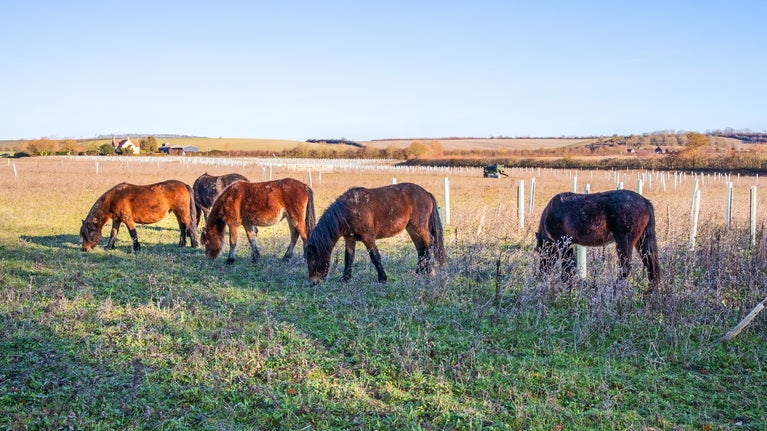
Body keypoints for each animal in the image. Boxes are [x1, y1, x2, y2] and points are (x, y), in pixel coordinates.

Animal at [305, 182, 446, 284]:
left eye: (312, 260)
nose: (313, 282)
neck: (349, 209)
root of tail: (427, 193)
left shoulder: (368, 238)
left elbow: (375, 257)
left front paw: (382, 278)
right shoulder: (349, 239)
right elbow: (348, 258)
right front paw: (345, 278)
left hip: (420, 227)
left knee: (430, 244)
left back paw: (429, 271)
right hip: (412, 229)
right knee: (421, 248)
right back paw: (419, 272)